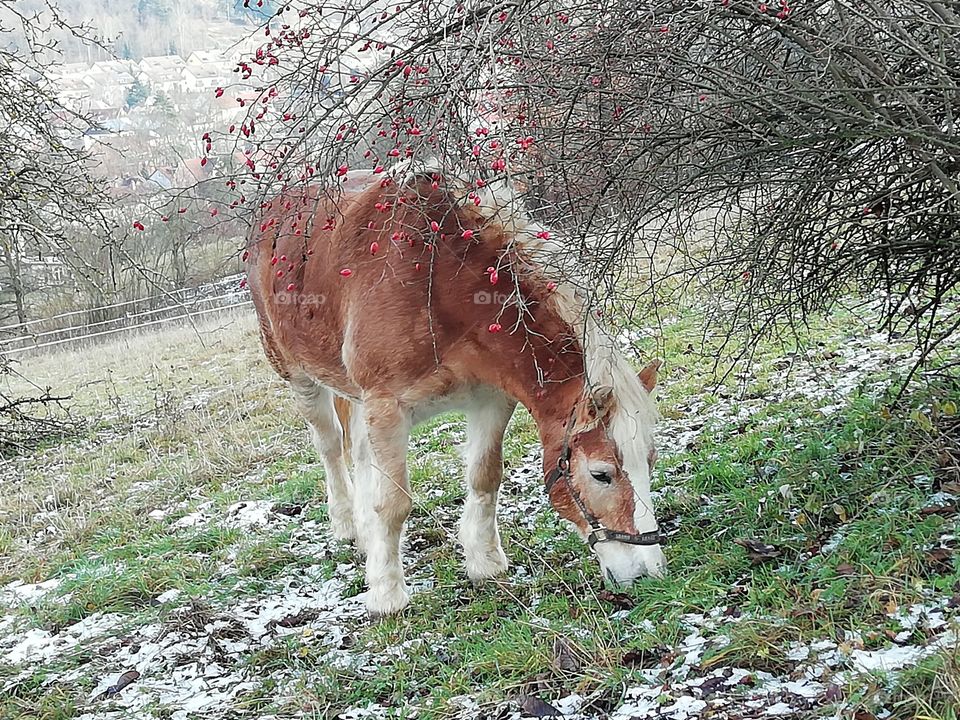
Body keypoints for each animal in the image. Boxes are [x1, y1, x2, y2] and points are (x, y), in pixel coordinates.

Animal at [244, 164, 665, 615]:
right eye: (602, 474)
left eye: (650, 460)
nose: (648, 573)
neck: (440, 285)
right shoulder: (387, 407)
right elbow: (393, 503)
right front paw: (387, 595)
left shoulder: (490, 399)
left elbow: (485, 477)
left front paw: (485, 563)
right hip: (299, 376)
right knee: (328, 446)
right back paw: (344, 523)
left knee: (357, 450)